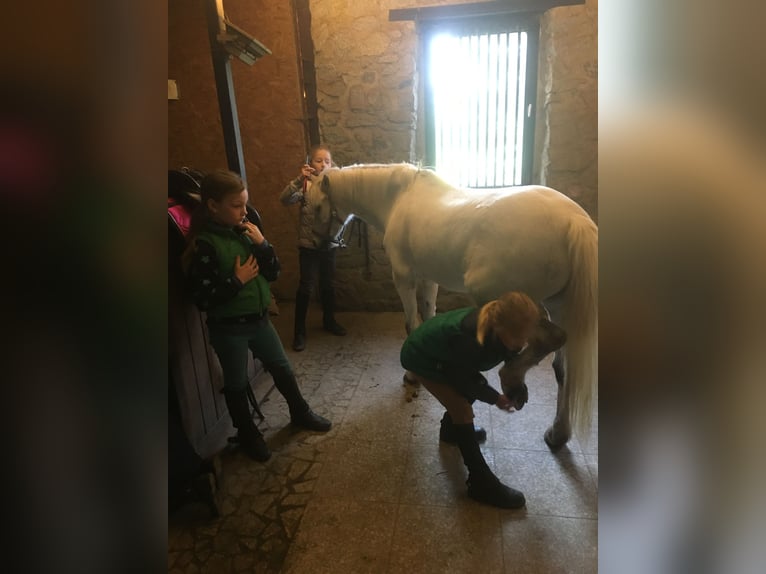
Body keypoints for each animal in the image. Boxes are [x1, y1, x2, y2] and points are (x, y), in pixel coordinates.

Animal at [318, 164, 600, 448]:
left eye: (317, 205)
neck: (399, 196)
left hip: (502, 301)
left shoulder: (404, 278)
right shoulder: (428, 279)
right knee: (562, 369)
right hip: (559, 306)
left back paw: (511, 380)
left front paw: (412, 376)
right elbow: (427, 316)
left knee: (552, 338)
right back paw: (557, 432)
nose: (324, 245)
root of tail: (573, 219)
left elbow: (410, 323)